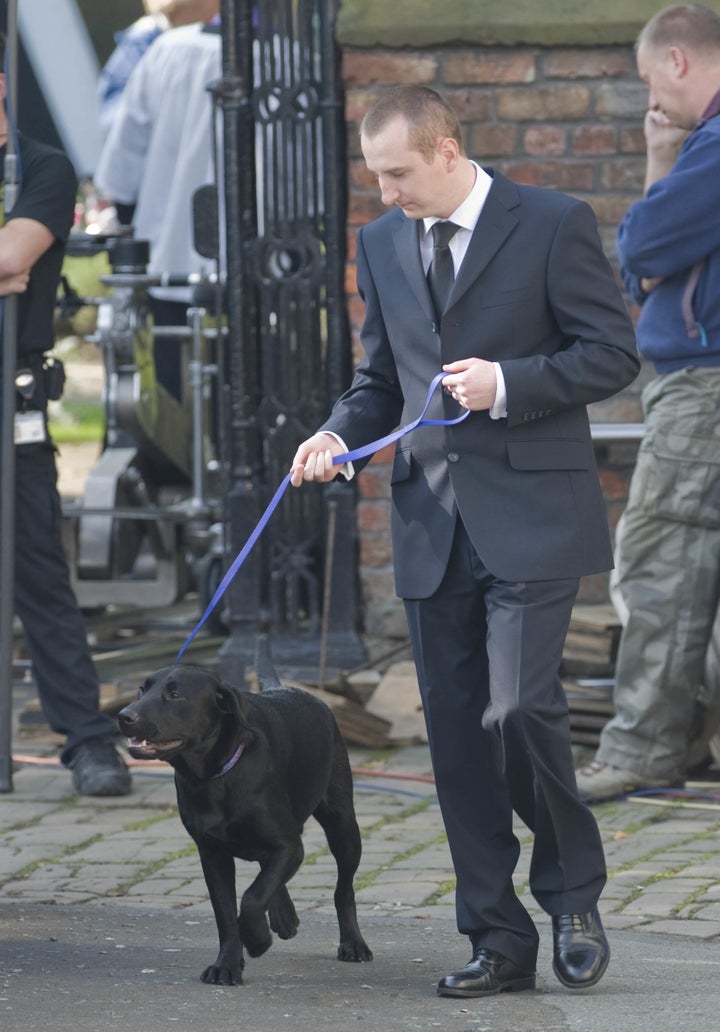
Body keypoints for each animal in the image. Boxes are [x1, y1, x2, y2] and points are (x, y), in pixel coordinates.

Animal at [116, 652, 369, 982]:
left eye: (174, 694)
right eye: (141, 690)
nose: (123, 716)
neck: (213, 776)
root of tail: (283, 688)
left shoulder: (289, 845)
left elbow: (252, 897)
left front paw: (257, 939)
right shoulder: (213, 855)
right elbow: (227, 914)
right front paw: (226, 965)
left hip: (343, 826)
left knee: (343, 889)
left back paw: (353, 943)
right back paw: (283, 917)